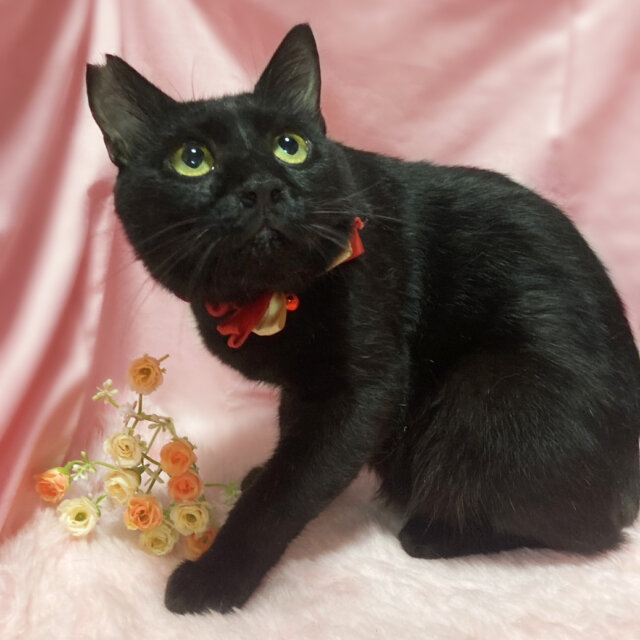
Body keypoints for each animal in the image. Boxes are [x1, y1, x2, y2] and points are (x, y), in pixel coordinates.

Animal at [86, 24, 640, 614]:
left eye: (291, 146)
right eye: (192, 158)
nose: (262, 186)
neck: (263, 300)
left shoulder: (366, 387)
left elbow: (288, 492)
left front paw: (215, 579)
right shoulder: (305, 387)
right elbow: (292, 445)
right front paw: (260, 473)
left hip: (492, 387)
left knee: (591, 531)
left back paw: (432, 532)